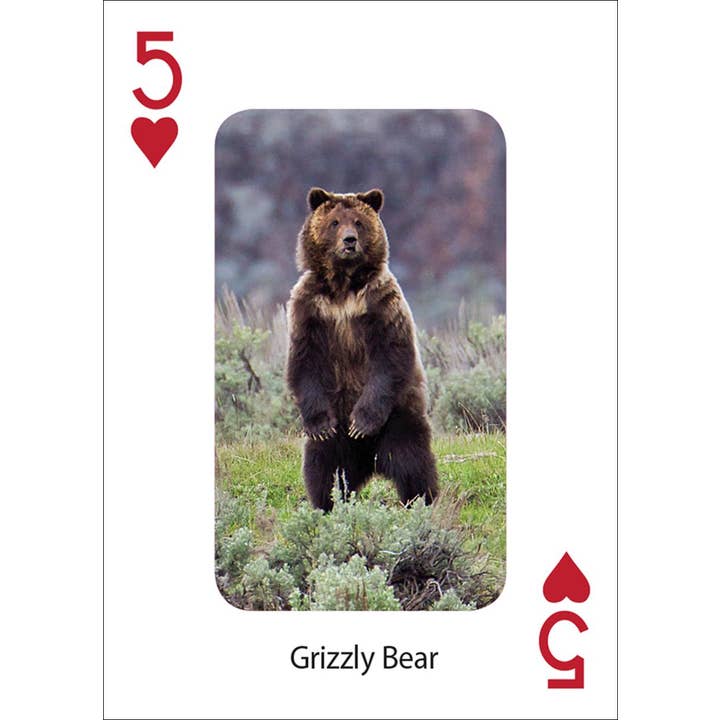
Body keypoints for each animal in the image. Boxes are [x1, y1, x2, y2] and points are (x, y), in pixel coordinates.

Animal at [286, 186, 439, 511]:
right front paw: (320, 425)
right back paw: (327, 504)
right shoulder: (310, 309)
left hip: (399, 418)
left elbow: (390, 356)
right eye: (334, 222)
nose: (349, 240)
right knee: (324, 468)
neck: (343, 288)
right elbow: (304, 362)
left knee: (412, 461)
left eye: (358, 222)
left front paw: (361, 423)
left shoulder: (380, 303)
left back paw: (421, 501)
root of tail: (369, 462)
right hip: (337, 437)